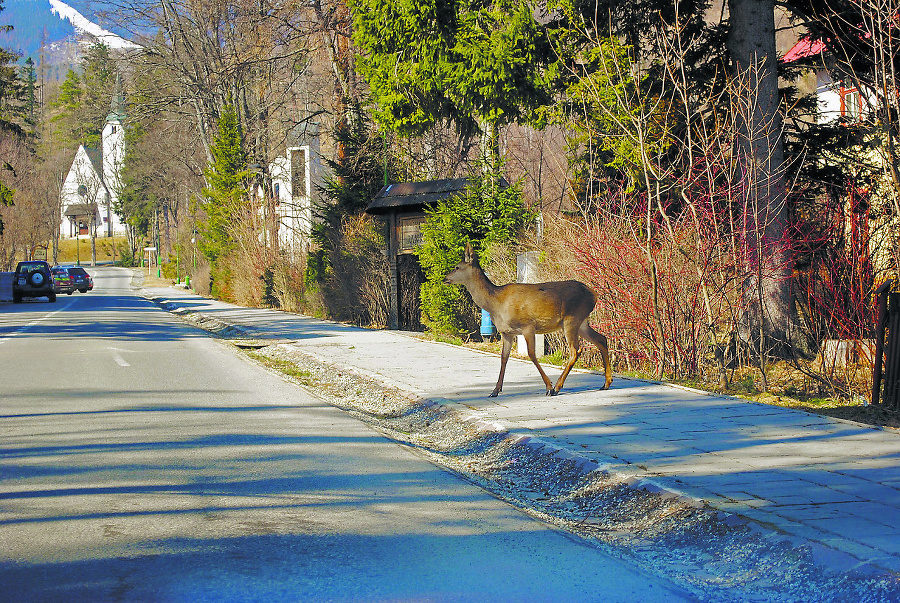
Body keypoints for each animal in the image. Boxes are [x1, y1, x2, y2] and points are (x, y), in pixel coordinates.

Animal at [442, 243, 612, 398]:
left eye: (457, 267)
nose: (445, 278)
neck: (495, 303)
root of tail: (594, 294)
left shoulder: (528, 325)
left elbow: (531, 354)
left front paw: (548, 387)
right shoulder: (507, 332)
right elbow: (504, 358)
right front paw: (495, 390)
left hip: (571, 318)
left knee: (575, 350)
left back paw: (557, 387)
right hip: (582, 321)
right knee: (601, 339)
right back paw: (606, 383)